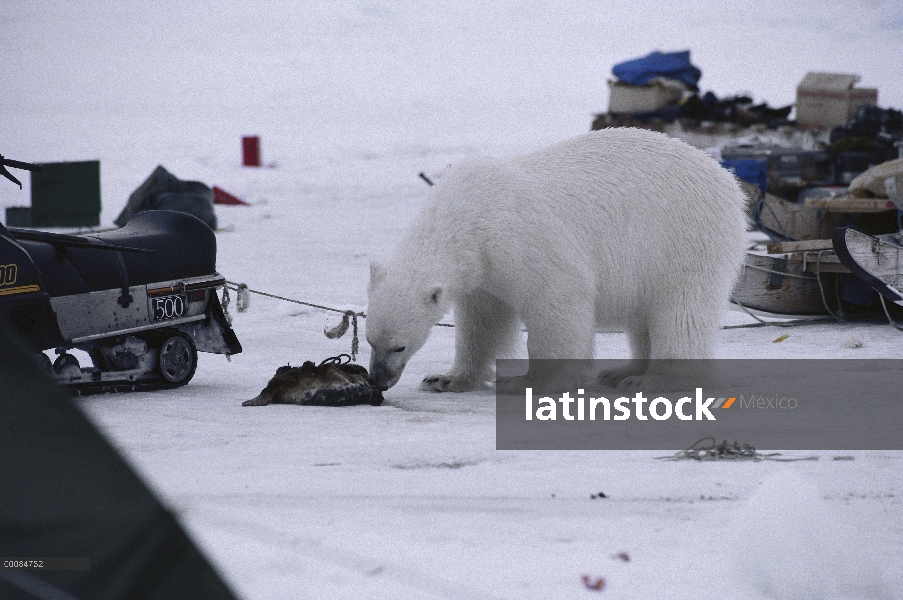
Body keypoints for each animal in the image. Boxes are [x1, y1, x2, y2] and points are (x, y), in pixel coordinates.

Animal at [364, 128, 744, 392]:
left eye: (399, 346)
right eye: (370, 341)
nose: (378, 380)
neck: (466, 214)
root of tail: (728, 181)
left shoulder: (519, 238)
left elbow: (557, 299)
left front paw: (526, 382)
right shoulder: (482, 271)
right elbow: (483, 321)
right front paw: (445, 379)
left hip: (684, 239)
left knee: (680, 311)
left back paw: (652, 380)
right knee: (644, 317)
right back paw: (622, 371)